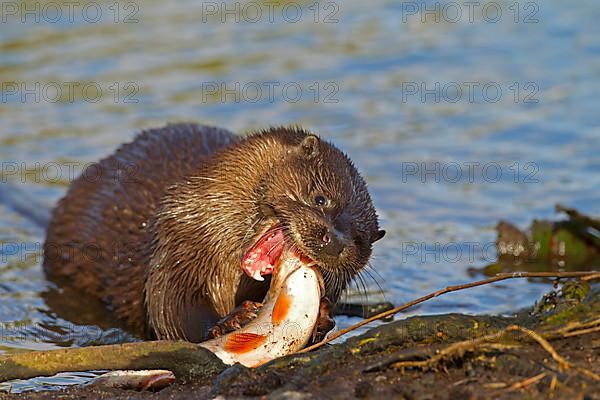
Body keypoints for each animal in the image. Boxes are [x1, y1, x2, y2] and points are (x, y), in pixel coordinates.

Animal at [45, 123, 384, 342]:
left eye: (359, 239)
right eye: (321, 198)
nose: (335, 241)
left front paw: (323, 317)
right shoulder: (175, 245)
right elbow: (170, 308)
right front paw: (233, 319)